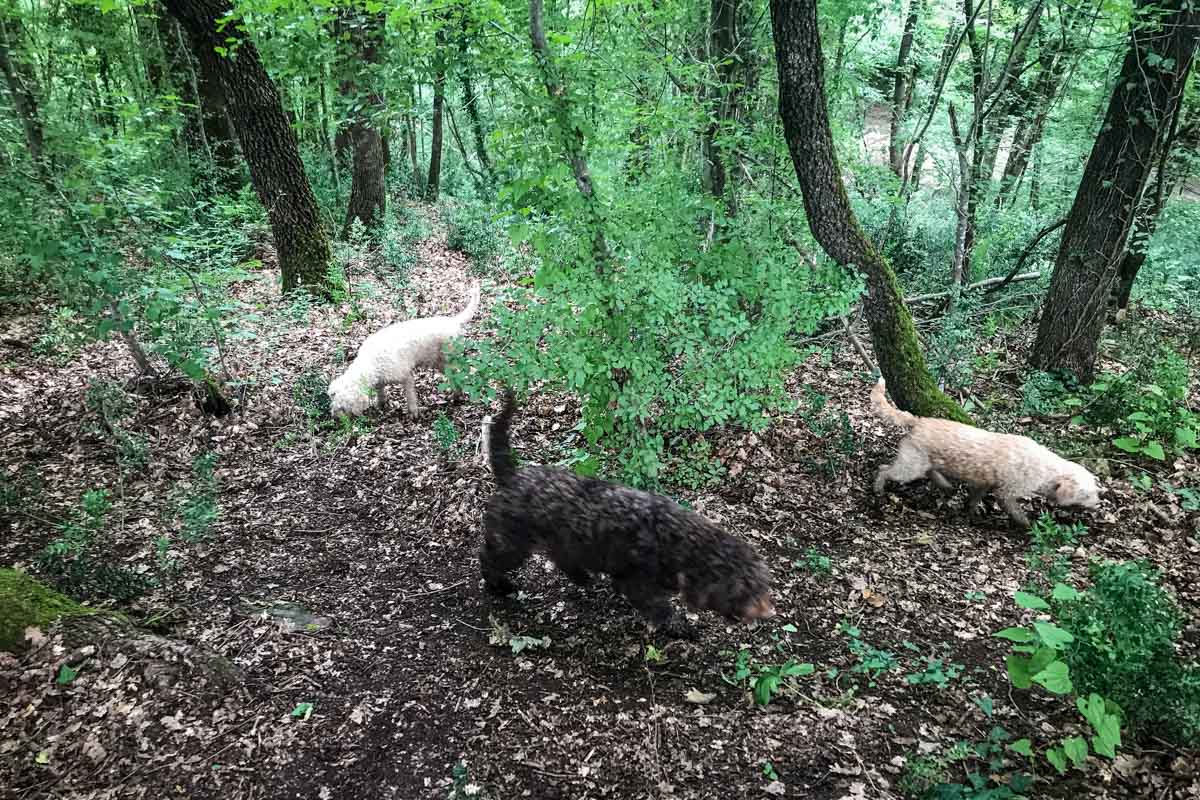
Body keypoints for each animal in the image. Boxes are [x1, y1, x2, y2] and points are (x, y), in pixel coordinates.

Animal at [328, 281, 482, 419]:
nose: (335, 418)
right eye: (335, 403)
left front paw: (413, 413)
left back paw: (457, 396)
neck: (372, 363)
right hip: (439, 362)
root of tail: (454, 321)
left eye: (344, 408)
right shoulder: (380, 381)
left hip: (449, 359)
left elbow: (410, 395)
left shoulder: (406, 376)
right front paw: (381, 404)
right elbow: (380, 392)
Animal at [477, 391, 777, 642]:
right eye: (745, 591)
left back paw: (581, 578)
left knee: (561, 557)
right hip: (513, 543)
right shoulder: (637, 584)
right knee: (490, 558)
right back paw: (499, 586)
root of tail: (511, 475)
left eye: (763, 584)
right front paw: (681, 628)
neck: (677, 542)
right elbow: (660, 609)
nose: (769, 612)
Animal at [873, 381, 1099, 527]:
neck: (1045, 469)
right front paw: (1027, 526)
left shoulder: (984, 483)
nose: (1098, 505)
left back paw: (946, 486)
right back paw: (878, 488)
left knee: (930, 472)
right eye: (1086, 494)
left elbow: (974, 499)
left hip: (923, 462)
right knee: (884, 469)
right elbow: (1016, 511)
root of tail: (917, 421)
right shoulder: (1006, 493)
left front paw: (972, 512)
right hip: (910, 467)